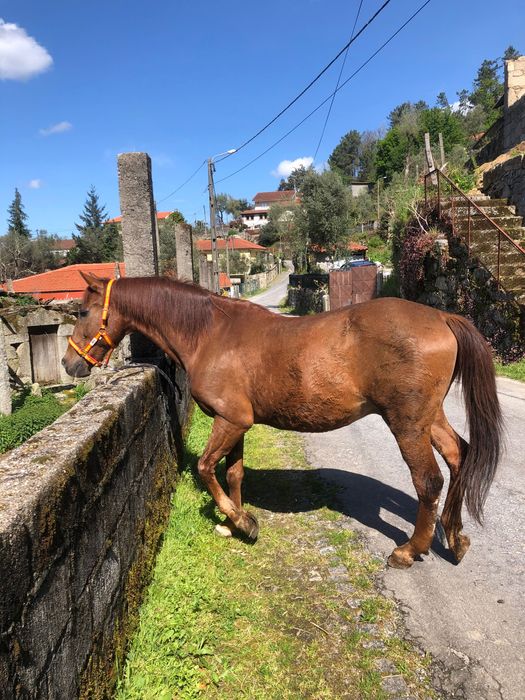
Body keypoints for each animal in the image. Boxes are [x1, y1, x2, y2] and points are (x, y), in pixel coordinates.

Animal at [62, 272, 502, 569]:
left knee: (428, 480)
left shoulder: (230, 421)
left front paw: (244, 522)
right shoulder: (236, 423)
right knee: (458, 455)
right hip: (430, 417)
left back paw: (410, 550)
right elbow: (234, 473)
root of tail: (441, 317)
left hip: (407, 423)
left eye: (81, 311)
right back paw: (455, 537)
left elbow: (205, 468)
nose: (68, 364)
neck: (210, 333)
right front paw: (232, 523)